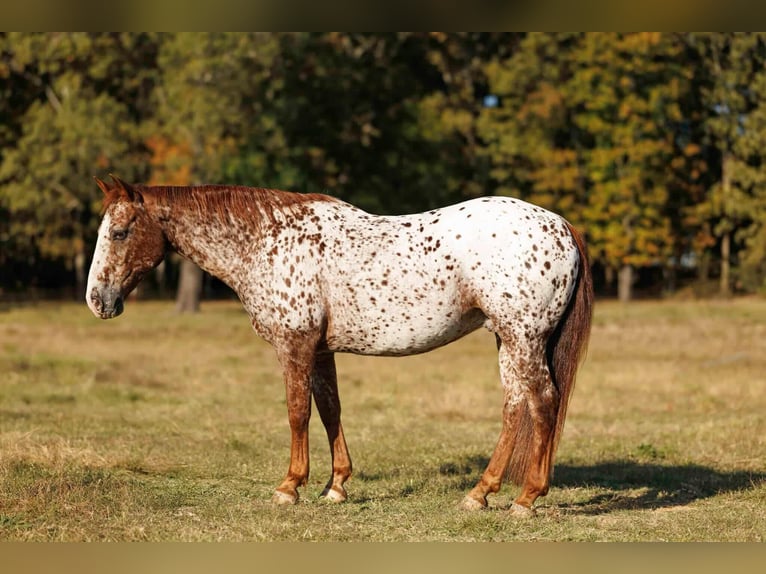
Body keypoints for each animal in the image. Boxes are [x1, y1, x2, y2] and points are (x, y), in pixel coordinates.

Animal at [86, 175, 593, 516]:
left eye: (119, 232)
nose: (97, 300)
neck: (266, 241)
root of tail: (560, 225)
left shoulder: (294, 345)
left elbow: (297, 412)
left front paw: (290, 486)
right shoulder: (320, 350)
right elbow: (330, 409)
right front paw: (336, 485)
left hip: (524, 338)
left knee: (543, 402)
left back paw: (526, 498)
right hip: (507, 340)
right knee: (515, 406)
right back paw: (480, 493)